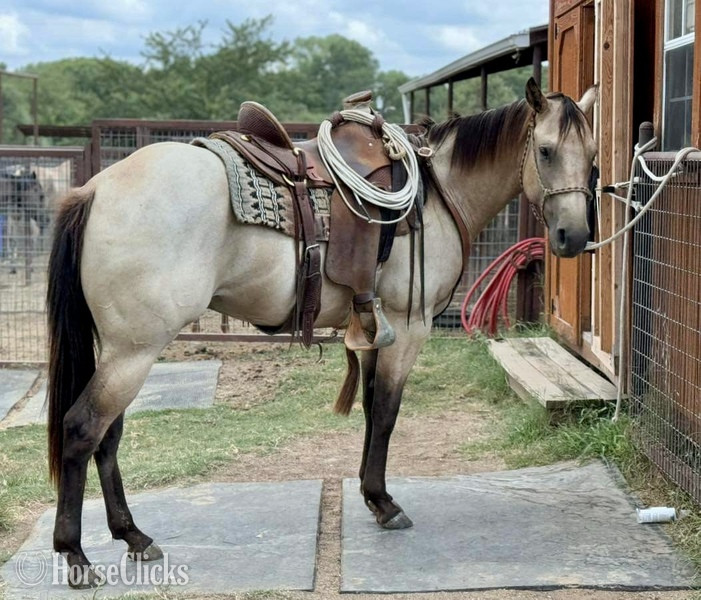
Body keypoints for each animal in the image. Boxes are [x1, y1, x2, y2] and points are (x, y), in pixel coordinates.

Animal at [46, 79, 597, 588]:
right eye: (545, 151)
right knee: (81, 430)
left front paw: (372, 497)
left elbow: (372, 410)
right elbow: (387, 413)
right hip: (134, 351)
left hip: (122, 350)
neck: (438, 192)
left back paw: (133, 535)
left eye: (593, 158)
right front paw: (384, 503)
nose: (574, 237)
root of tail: (96, 188)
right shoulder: (410, 328)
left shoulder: (376, 331)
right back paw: (75, 556)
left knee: (108, 436)